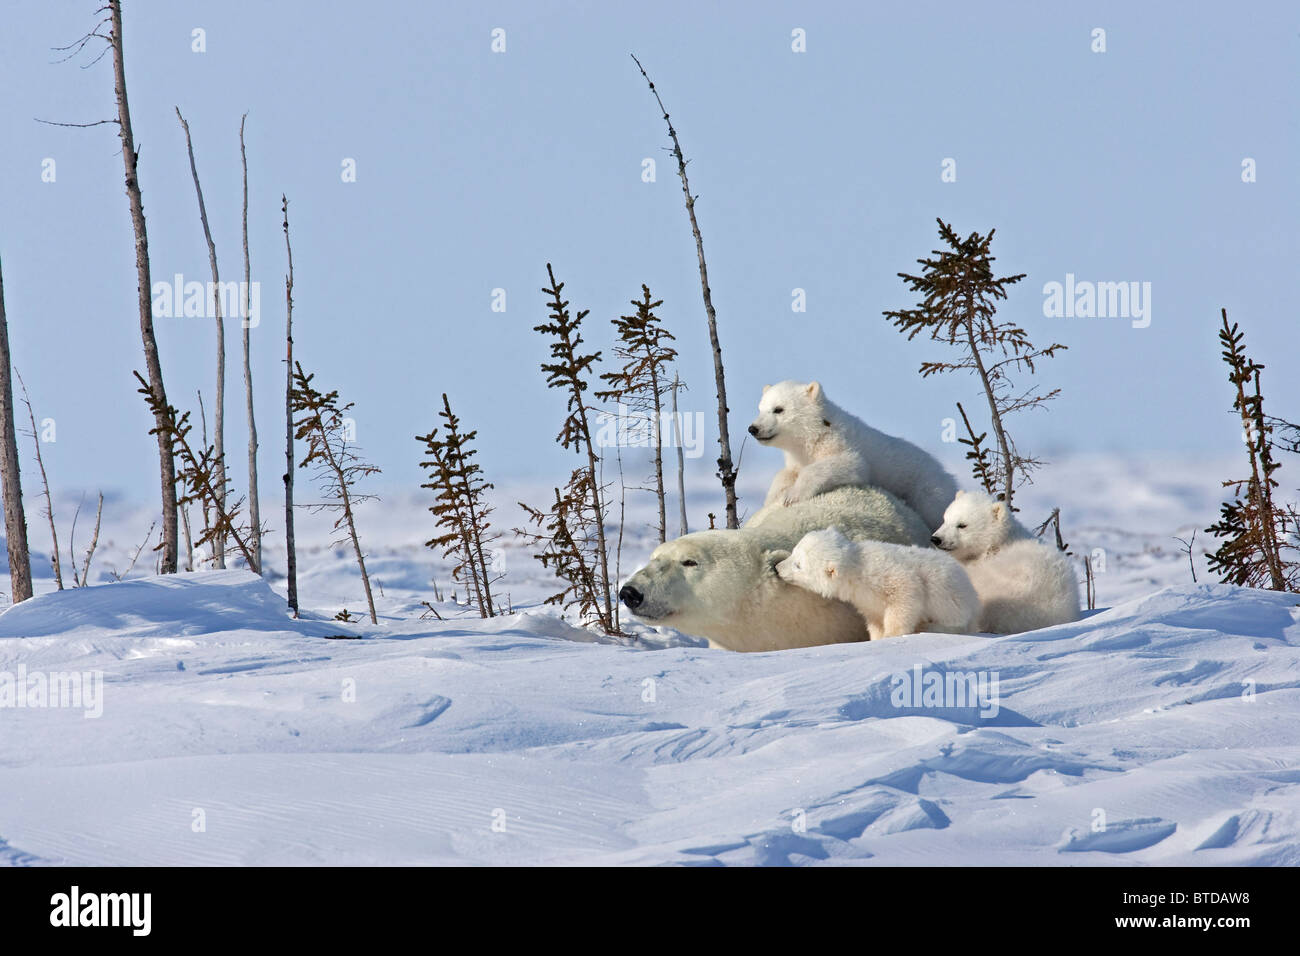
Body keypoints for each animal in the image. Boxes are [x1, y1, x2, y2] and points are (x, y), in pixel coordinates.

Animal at [769, 528, 977, 639]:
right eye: (794, 551)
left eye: (798, 565)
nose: (777, 567)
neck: (859, 569)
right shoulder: (867, 600)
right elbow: (875, 618)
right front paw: (876, 637)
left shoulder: (890, 576)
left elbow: (906, 596)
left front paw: (891, 635)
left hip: (954, 609)